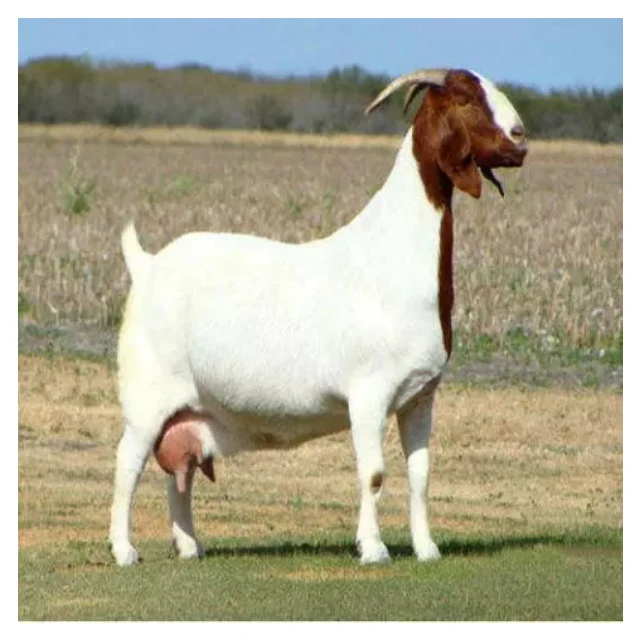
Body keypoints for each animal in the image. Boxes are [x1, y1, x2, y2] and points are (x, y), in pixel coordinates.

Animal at [109, 68, 527, 566]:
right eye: (464, 99)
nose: (520, 139)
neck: (393, 254)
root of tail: (146, 265)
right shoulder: (368, 394)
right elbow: (374, 473)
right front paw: (373, 548)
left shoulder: (420, 396)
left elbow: (421, 474)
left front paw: (427, 549)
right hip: (147, 395)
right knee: (128, 462)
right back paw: (124, 550)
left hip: (189, 410)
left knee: (182, 471)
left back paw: (190, 546)